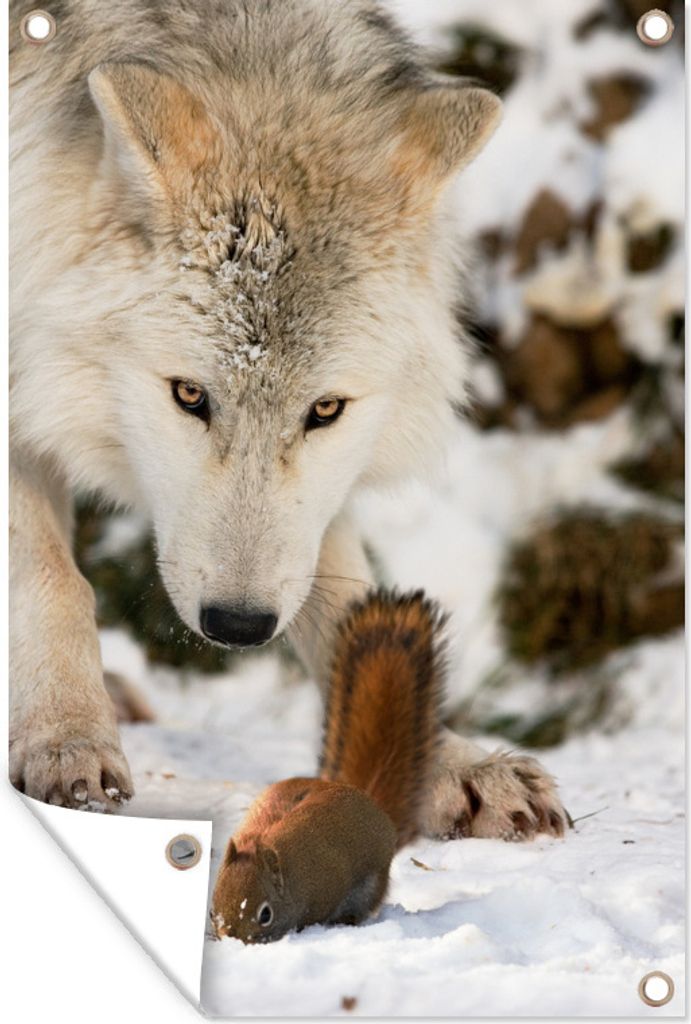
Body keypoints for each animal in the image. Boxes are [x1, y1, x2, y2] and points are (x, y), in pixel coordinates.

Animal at [9, 0, 566, 838]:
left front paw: (449, 763)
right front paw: (65, 740)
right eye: (189, 395)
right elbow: (52, 579)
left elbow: (347, 596)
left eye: (324, 410)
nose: (238, 625)